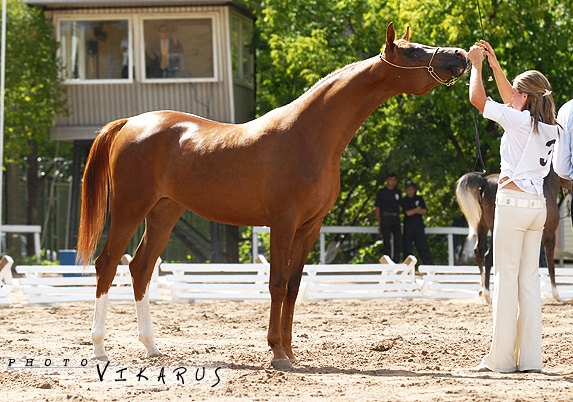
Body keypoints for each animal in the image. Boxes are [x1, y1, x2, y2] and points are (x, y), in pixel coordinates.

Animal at [77, 21, 470, 368]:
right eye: (412, 51)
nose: (460, 56)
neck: (309, 134)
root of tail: (130, 123)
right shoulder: (282, 224)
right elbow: (277, 283)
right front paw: (277, 353)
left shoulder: (310, 226)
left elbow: (294, 286)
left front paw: (290, 351)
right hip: (129, 209)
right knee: (107, 264)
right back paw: (99, 349)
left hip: (163, 213)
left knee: (141, 268)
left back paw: (151, 347)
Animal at [456, 168, 568, 304]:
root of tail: (485, 182)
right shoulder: (549, 236)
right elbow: (550, 264)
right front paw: (556, 295)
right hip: (496, 230)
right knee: (488, 256)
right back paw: (488, 295)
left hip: (482, 226)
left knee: (478, 251)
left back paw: (482, 290)